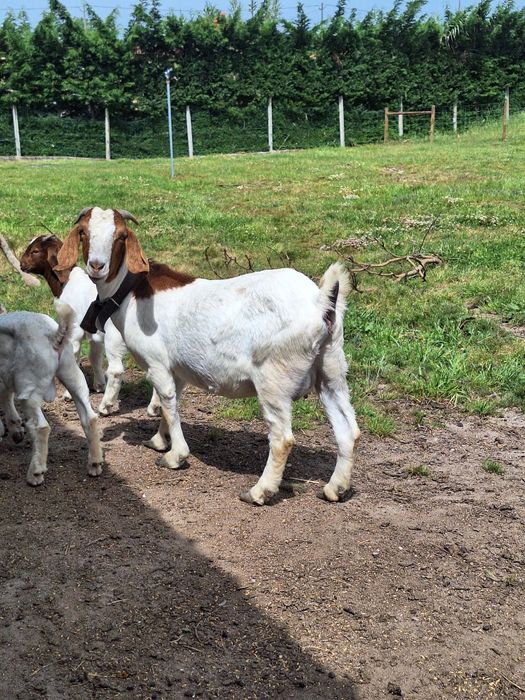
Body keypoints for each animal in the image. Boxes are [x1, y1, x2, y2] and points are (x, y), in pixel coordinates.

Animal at [0, 301, 103, 485]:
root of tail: (55, 336)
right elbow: (6, 396)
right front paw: (15, 429)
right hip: (71, 372)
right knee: (89, 417)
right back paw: (95, 463)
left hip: (29, 384)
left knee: (41, 427)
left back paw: (35, 473)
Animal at [20, 235, 161, 417]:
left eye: (35, 251)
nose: (21, 264)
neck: (66, 282)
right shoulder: (93, 333)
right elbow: (94, 356)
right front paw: (99, 385)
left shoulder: (74, 330)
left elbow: (74, 358)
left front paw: (69, 394)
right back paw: (154, 408)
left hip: (114, 337)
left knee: (116, 371)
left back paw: (105, 406)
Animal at [55, 207, 360, 504]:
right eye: (83, 232)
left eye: (120, 236)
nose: (97, 266)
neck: (132, 291)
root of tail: (321, 303)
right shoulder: (176, 367)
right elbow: (171, 402)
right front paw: (159, 440)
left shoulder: (156, 362)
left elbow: (168, 401)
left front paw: (175, 456)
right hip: (331, 368)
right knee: (348, 430)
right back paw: (335, 488)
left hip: (275, 378)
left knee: (282, 438)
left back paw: (260, 491)